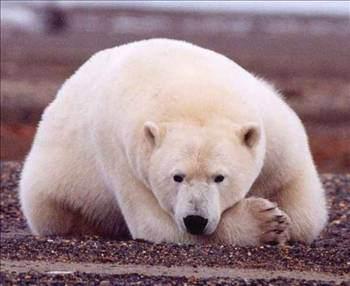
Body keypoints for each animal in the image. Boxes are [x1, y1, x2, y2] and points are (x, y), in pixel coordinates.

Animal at [19, 38, 326, 245]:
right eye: (177, 176)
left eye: (219, 177)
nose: (195, 220)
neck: (193, 91)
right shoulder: (125, 157)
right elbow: (155, 225)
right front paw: (267, 222)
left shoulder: (275, 131)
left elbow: (303, 206)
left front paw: (282, 218)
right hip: (53, 187)